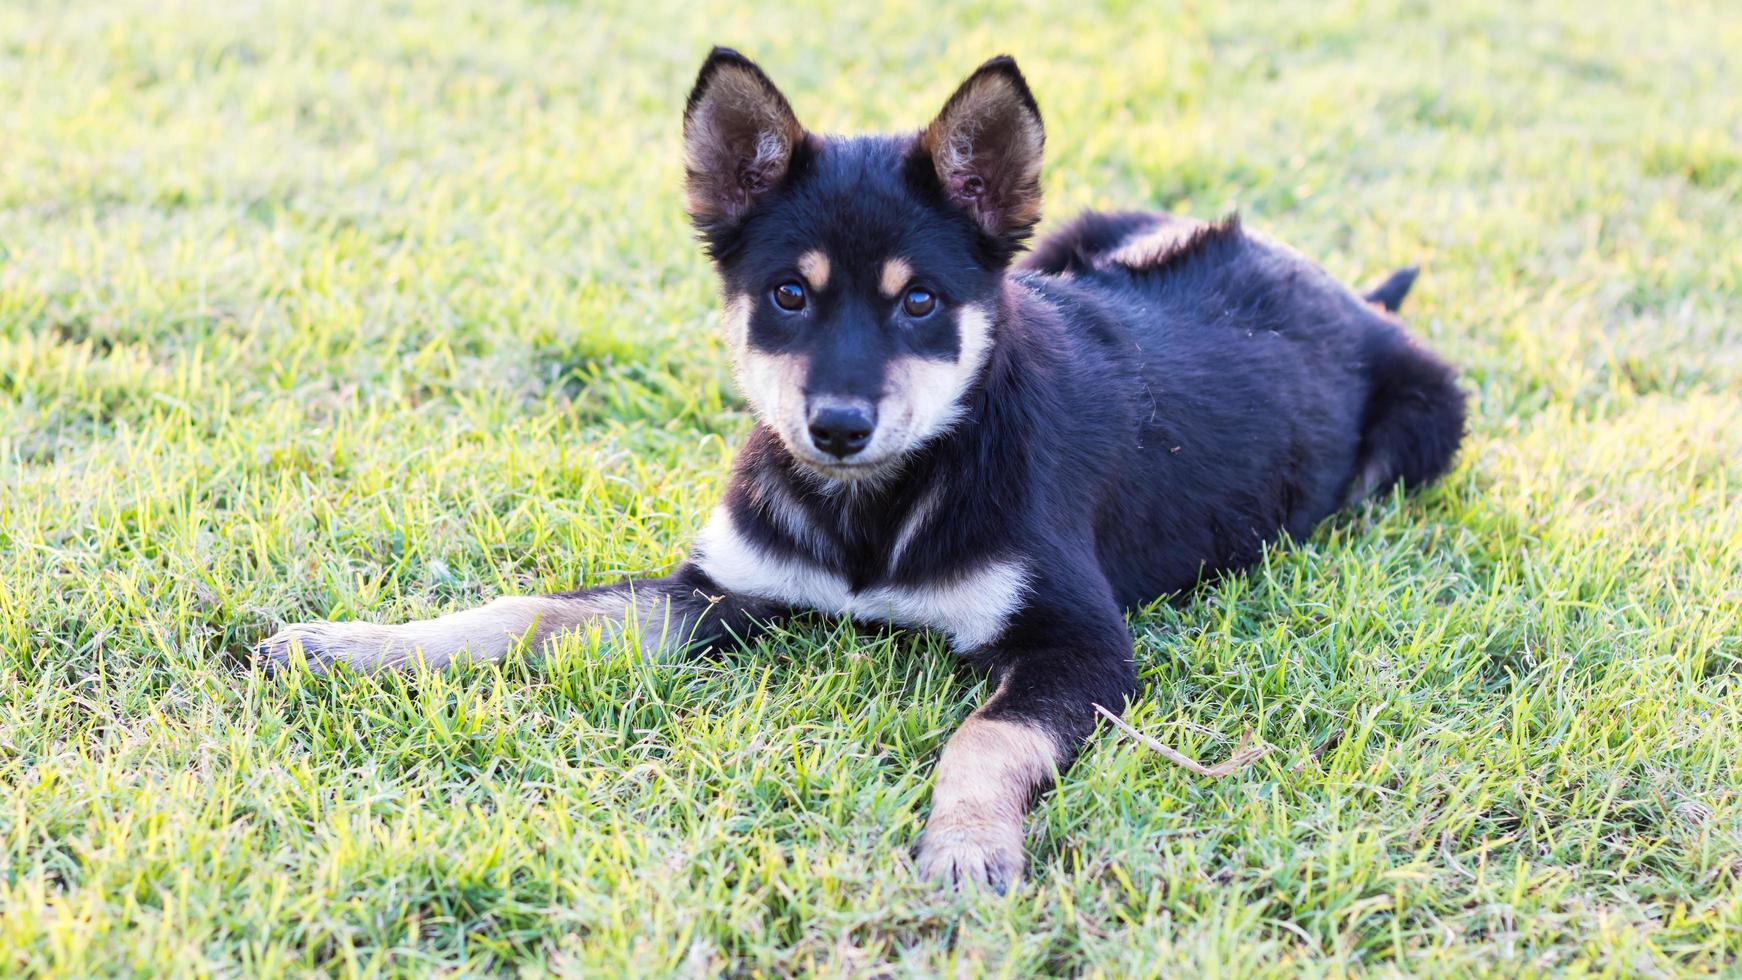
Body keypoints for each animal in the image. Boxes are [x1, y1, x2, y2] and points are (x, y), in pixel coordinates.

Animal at [257, 47, 1463, 891]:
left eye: (919, 300)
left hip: (1426, 425)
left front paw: (968, 847)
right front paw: (355, 645)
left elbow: (985, 735)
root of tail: (1340, 287)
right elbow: (530, 612)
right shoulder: (719, 589)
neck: (875, 507)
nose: (836, 426)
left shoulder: (1081, 645)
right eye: (788, 293)